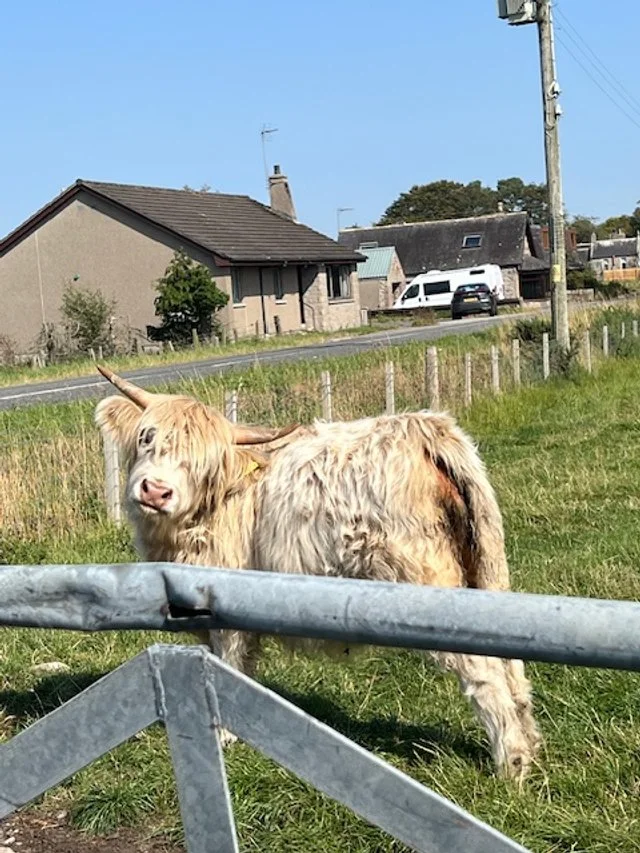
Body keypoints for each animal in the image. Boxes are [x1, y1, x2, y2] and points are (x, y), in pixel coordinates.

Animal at [94, 365, 541, 781]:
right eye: (146, 437)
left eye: (206, 464)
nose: (156, 491)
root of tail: (422, 429)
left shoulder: (222, 603)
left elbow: (229, 659)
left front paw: (223, 732)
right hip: (485, 571)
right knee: (509, 666)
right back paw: (530, 743)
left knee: (483, 671)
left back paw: (512, 762)